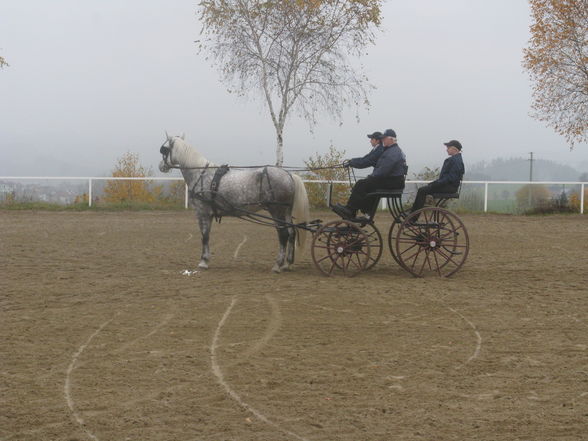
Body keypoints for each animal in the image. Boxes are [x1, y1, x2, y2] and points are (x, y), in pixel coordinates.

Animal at [158, 132, 310, 272]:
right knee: (291, 233)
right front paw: (206, 260)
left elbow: (204, 236)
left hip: (277, 210)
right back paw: (287, 264)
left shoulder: (202, 212)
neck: (200, 174)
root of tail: (288, 175)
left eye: (164, 149)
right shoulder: (209, 214)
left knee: (283, 234)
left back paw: (278, 265)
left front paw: (203, 262)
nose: (161, 166)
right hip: (286, 211)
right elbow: (207, 236)